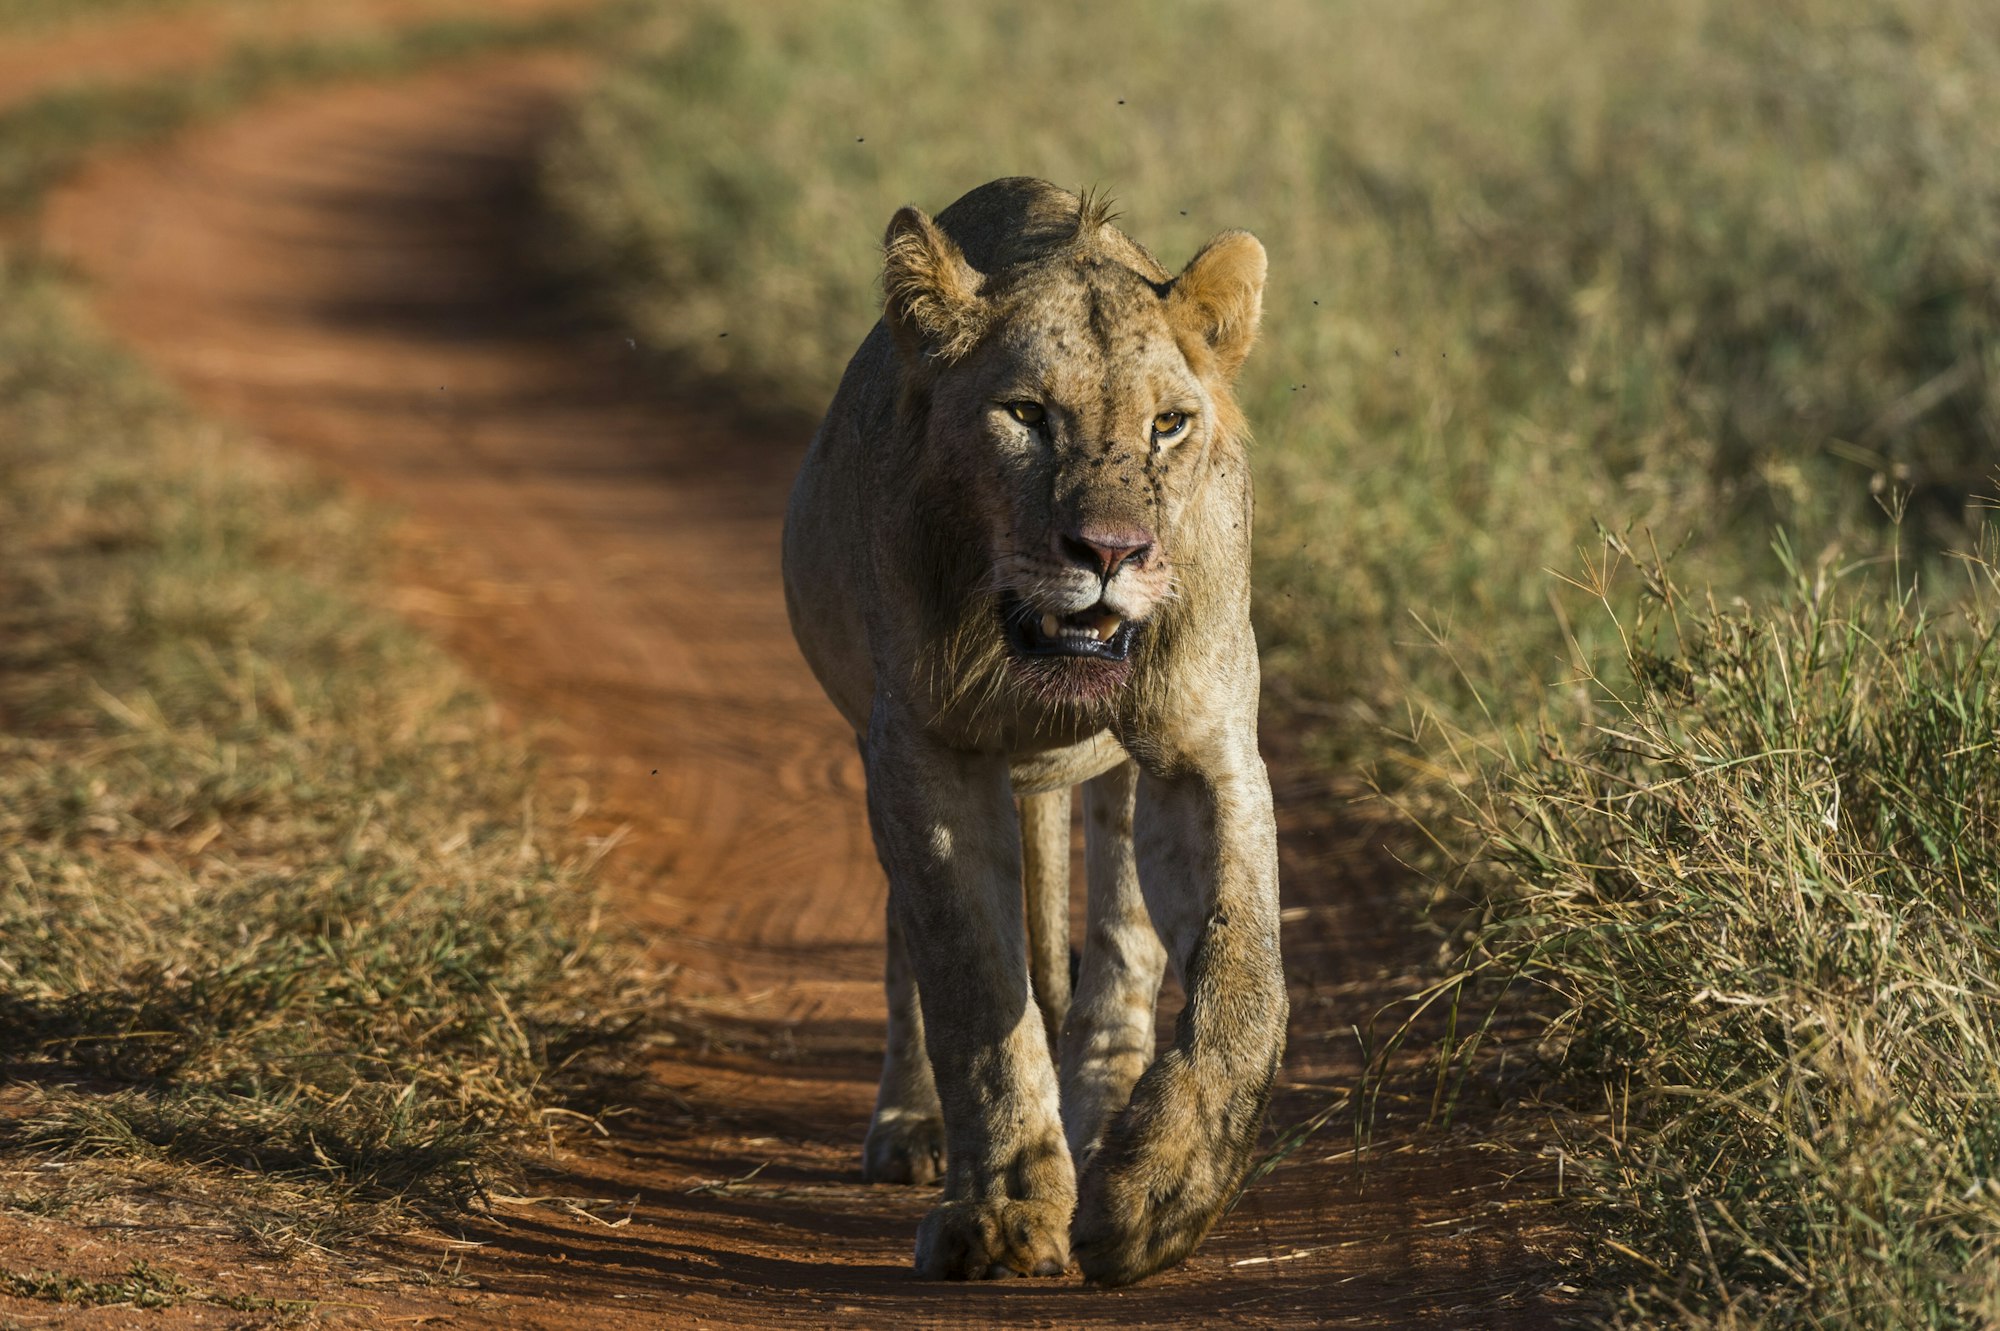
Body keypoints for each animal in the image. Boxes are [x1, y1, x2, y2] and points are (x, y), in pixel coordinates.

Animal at [780, 178, 1280, 1287]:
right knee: (909, 953)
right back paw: (913, 1125)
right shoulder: (922, 751)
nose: (1110, 551)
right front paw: (1003, 1215)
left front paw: (1161, 1193)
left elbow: (1244, 971)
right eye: (1024, 415)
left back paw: (1104, 1130)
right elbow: (972, 986)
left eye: (1169, 423)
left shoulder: (1202, 741)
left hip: (1117, 779)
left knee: (1122, 949)